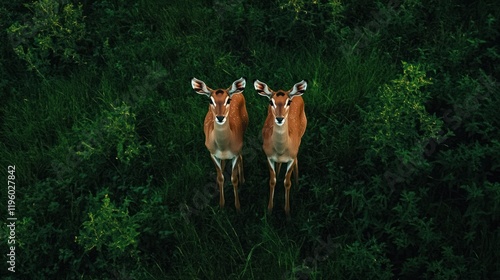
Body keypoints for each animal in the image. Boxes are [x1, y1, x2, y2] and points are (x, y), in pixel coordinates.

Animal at [190, 76, 249, 210]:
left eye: (228, 100)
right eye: (210, 100)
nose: (220, 117)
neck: (223, 146)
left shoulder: (236, 152)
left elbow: (234, 178)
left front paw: (238, 206)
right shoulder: (211, 152)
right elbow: (220, 177)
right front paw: (221, 205)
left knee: (241, 156)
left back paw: (243, 180)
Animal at [254, 80, 308, 218]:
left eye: (288, 102)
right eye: (270, 102)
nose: (279, 118)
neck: (281, 149)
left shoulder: (291, 157)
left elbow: (287, 182)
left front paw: (288, 213)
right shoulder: (268, 156)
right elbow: (272, 181)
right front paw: (269, 210)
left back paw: (297, 184)